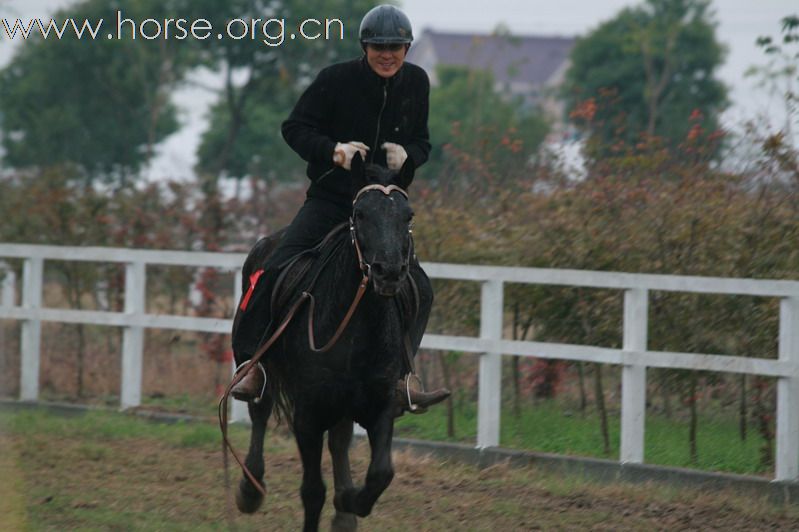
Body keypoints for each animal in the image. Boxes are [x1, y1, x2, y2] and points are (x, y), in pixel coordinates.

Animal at [222, 154, 434, 532]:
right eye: (360, 213)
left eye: (407, 216)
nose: (388, 272)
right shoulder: (308, 415)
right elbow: (312, 492)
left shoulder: (380, 406)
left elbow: (381, 473)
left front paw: (348, 502)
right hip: (264, 367)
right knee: (260, 409)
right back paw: (250, 488)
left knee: (339, 441)